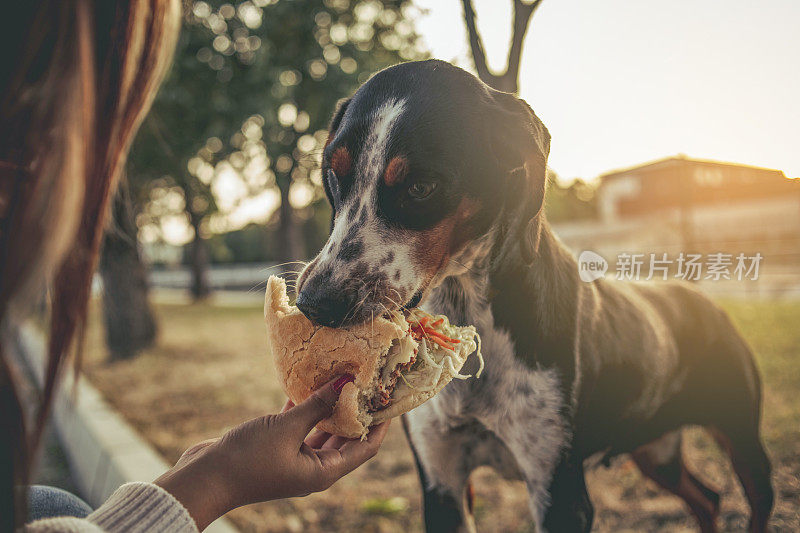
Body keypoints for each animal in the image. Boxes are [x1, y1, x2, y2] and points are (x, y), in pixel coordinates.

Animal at [296, 60, 776, 532]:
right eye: (334, 174)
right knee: (707, 498)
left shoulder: (560, 492)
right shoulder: (441, 481)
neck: (465, 306)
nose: (315, 303)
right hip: (656, 452)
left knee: (755, 496)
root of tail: (702, 300)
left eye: (421, 187)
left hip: (740, 436)